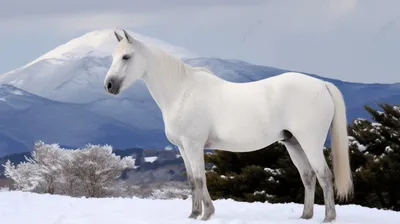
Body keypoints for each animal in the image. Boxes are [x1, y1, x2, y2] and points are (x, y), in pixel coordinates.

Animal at [104, 29, 354, 222]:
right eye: (113, 57)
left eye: (126, 57)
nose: (109, 85)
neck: (182, 91)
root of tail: (322, 84)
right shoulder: (183, 148)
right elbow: (192, 180)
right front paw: (194, 214)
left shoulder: (194, 145)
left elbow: (200, 179)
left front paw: (205, 214)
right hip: (293, 143)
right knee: (308, 176)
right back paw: (305, 215)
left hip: (310, 141)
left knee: (324, 175)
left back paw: (328, 217)